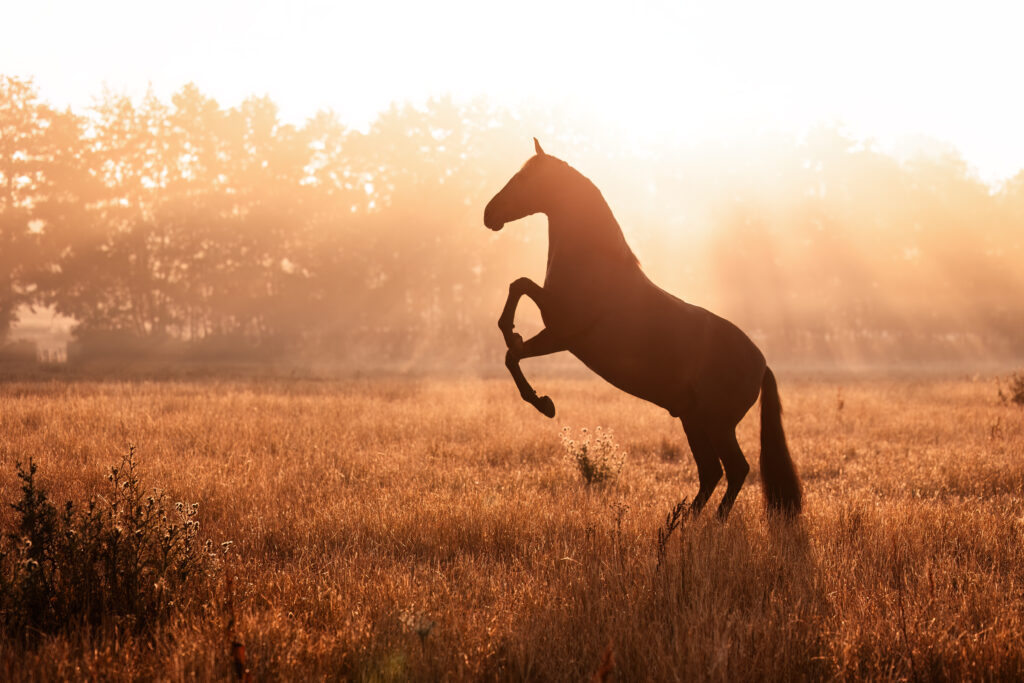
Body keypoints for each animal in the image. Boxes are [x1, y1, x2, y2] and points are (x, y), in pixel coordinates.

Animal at [483, 139, 802, 518]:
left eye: (526, 178)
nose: (489, 213)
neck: (595, 262)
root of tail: (762, 364)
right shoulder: (559, 335)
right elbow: (512, 346)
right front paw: (542, 398)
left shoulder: (561, 331)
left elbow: (519, 295)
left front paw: (537, 390)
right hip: (693, 420)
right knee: (712, 471)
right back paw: (683, 522)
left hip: (717, 424)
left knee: (737, 468)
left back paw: (712, 522)